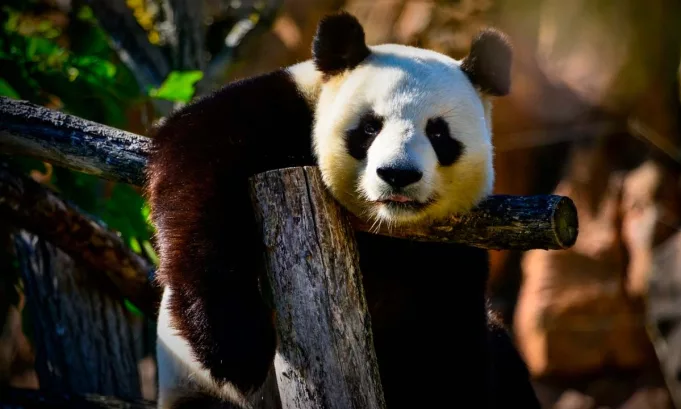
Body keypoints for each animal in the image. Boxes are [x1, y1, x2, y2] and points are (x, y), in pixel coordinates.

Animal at [146, 11, 541, 409]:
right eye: (369, 127)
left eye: (438, 133)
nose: (398, 174)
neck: (385, 229)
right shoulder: (272, 115)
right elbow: (196, 176)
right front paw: (240, 349)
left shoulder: (450, 258)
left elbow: (446, 347)